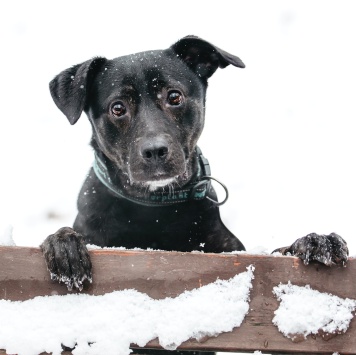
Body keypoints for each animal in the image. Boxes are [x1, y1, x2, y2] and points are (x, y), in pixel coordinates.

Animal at [41, 35, 348, 294]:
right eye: (118, 108)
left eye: (174, 96)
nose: (155, 151)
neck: (154, 209)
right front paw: (64, 244)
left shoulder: (231, 251)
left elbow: (276, 252)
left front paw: (315, 241)